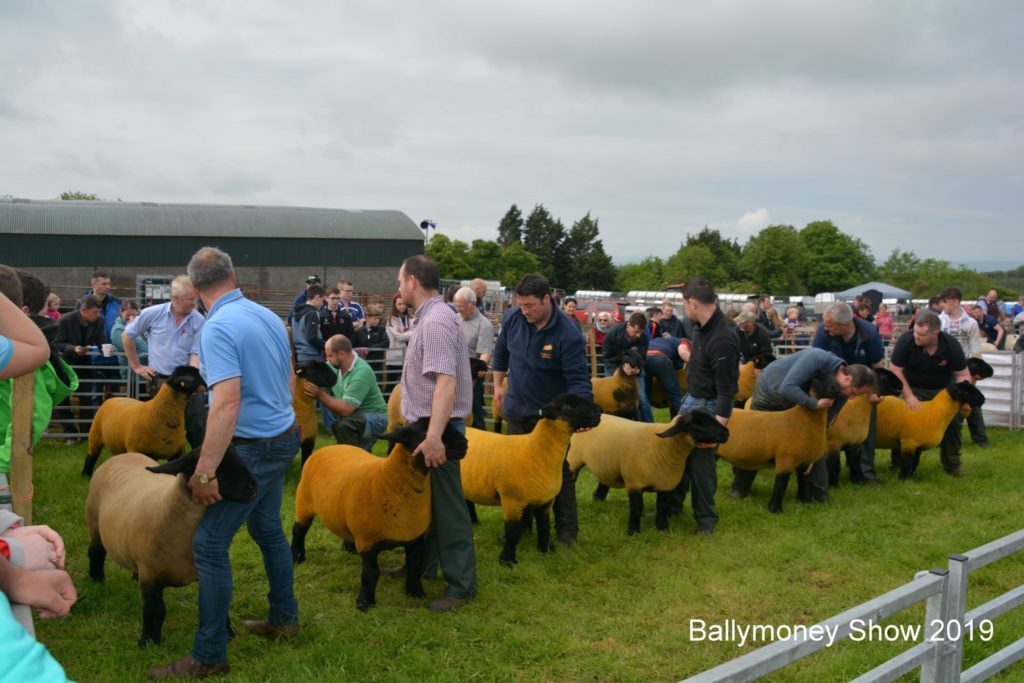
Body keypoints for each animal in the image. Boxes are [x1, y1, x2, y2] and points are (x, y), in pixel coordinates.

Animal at [85, 448, 258, 647]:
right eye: (218, 465)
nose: (252, 487)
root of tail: (125, 455)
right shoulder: (150, 575)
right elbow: (155, 610)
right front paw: (148, 643)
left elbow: (217, 604)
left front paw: (228, 634)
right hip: (93, 521)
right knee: (96, 552)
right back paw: (97, 579)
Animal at [286, 419, 466, 610]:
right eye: (426, 434)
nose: (465, 444)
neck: (389, 479)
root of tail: (330, 447)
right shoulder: (368, 540)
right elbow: (370, 573)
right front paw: (364, 602)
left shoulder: (416, 539)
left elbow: (414, 567)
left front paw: (415, 593)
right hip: (303, 502)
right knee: (298, 531)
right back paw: (297, 557)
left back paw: (348, 548)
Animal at [460, 395, 602, 565]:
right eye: (566, 407)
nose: (599, 411)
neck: (536, 451)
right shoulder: (512, 501)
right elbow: (513, 532)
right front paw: (507, 561)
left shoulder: (545, 501)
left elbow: (544, 527)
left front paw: (543, 552)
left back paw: (473, 522)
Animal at [569, 409, 729, 536]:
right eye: (696, 424)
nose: (726, 433)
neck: (662, 446)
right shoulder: (634, 483)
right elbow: (637, 509)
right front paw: (633, 532)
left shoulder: (665, 485)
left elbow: (663, 508)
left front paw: (663, 529)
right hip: (574, 458)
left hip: (606, 463)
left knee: (603, 482)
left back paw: (598, 500)